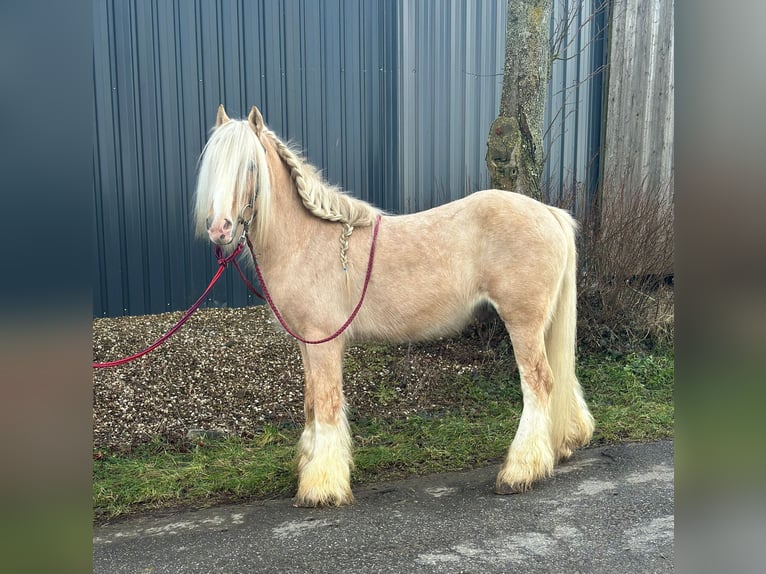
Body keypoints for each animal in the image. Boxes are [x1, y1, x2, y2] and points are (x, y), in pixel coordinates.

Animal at [192, 104, 592, 508]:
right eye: (212, 165)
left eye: (249, 166)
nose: (220, 228)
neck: (307, 241)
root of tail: (550, 213)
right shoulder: (306, 343)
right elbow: (310, 404)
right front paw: (308, 466)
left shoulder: (324, 342)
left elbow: (327, 404)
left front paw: (322, 485)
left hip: (522, 322)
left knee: (539, 383)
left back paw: (520, 471)